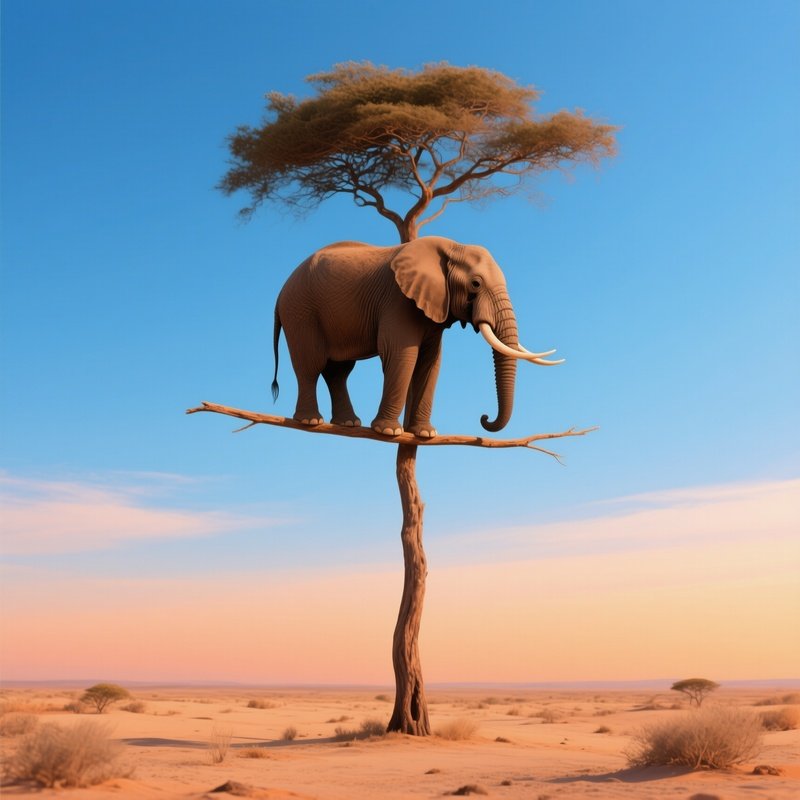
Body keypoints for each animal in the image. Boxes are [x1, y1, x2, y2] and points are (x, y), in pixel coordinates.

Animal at [271, 236, 562, 438]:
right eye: (475, 284)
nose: (484, 417)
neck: (453, 247)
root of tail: (280, 292)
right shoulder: (397, 301)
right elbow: (402, 356)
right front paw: (389, 431)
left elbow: (431, 362)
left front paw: (424, 434)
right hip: (301, 312)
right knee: (310, 365)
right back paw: (310, 421)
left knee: (338, 372)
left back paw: (349, 423)